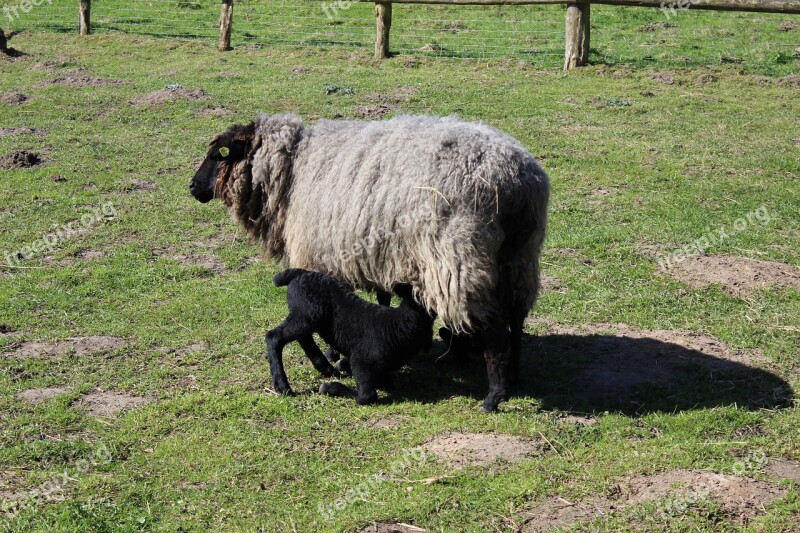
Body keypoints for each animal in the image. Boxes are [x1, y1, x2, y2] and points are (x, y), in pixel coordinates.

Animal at [268, 268, 432, 402]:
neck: (399, 323)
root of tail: (301, 273)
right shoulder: (360, 361)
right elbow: (366, 396)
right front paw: (329, 388)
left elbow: (385, 381)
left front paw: (341, 366)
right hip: (306, 314)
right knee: (274, 337)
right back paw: (283, 386)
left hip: (305, 317)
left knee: (303, 337)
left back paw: (326, 368)